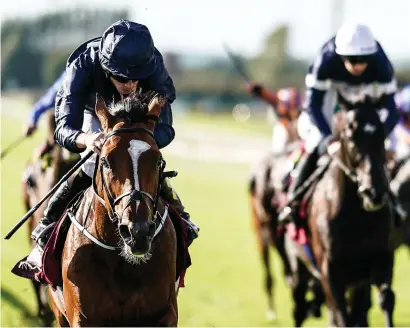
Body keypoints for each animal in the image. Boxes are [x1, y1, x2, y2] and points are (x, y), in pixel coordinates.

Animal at [284, 106, 396, 326]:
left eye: (382, 134)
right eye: (351, 138)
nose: (374, 192)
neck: (357, 217)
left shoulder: (379, 259)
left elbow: (385, 298)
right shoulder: (330, 270)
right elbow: (340, 312)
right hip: (299, 266)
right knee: (299, 307)